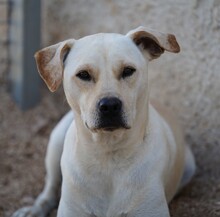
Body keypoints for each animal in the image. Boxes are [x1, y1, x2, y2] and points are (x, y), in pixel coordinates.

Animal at [12, 26, 196, 216]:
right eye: (83, 74)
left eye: (128, 70)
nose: (110, 105)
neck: (107, 154)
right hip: (56, 140)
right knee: (50, 188)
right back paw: (34, 209)